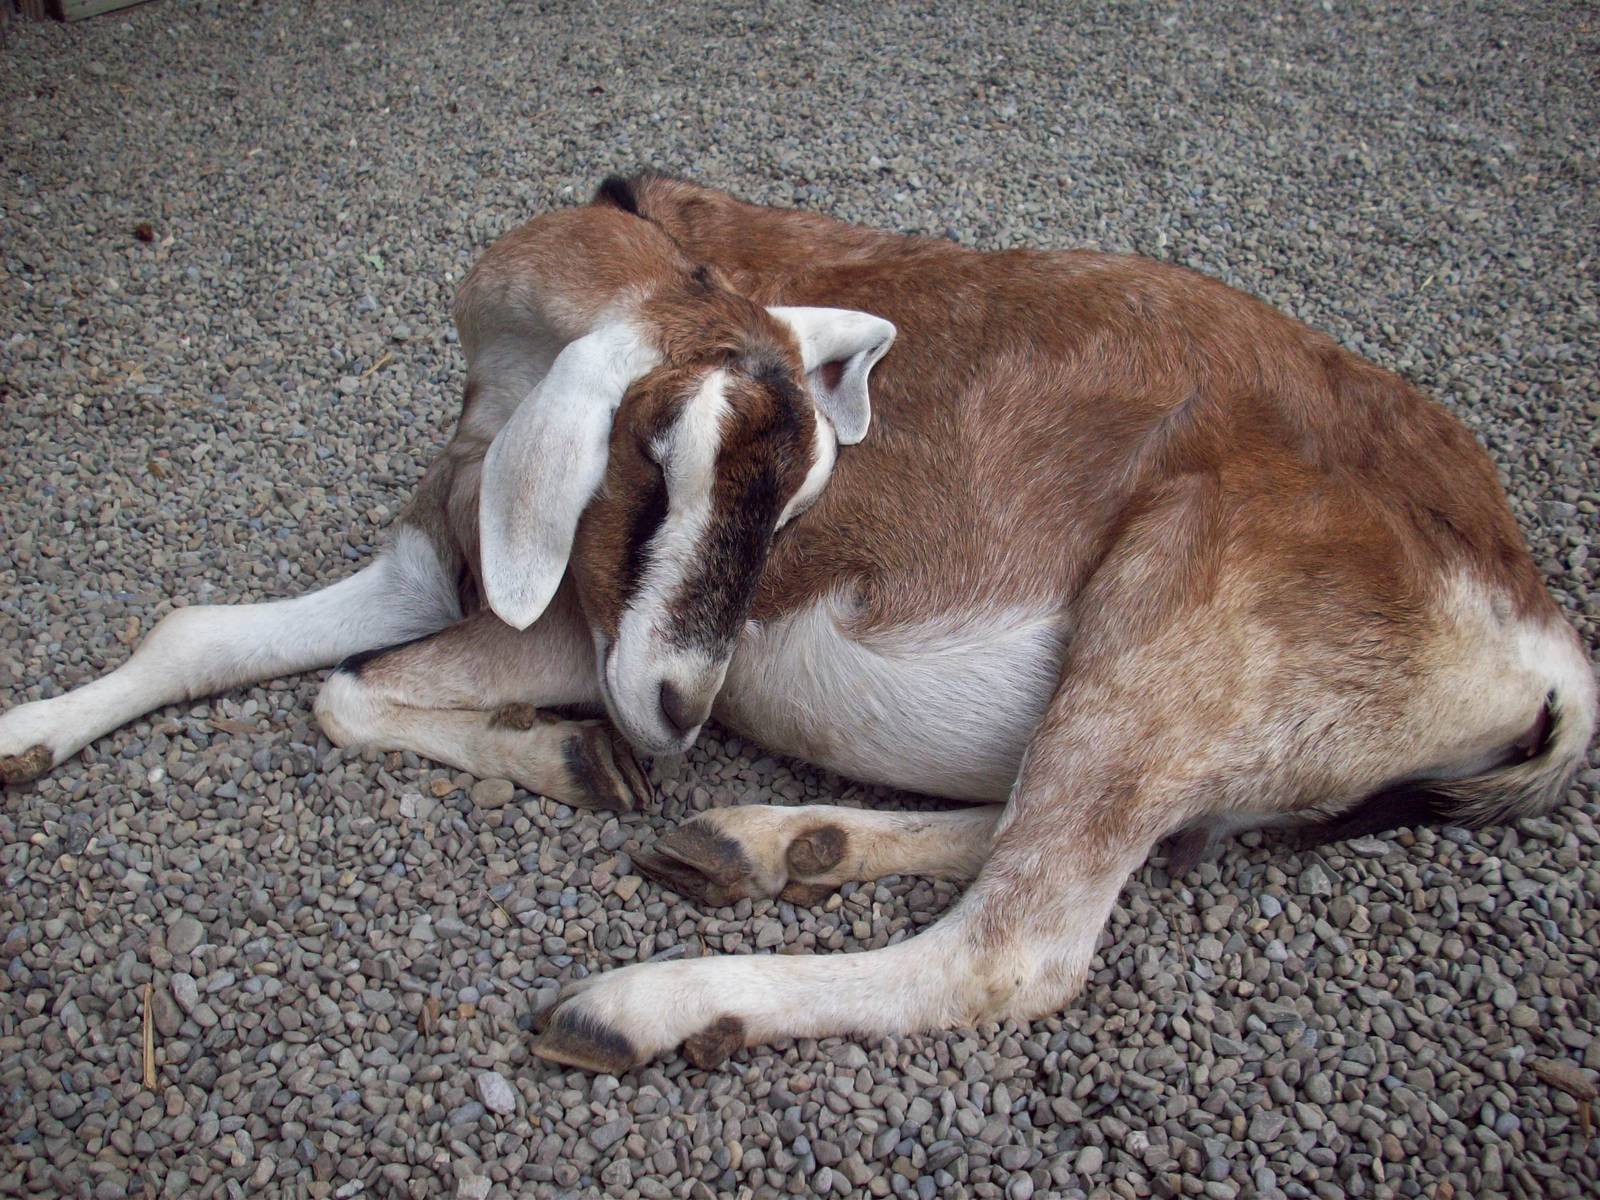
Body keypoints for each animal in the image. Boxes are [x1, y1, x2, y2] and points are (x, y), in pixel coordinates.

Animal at [2, 174, 1594, 1076]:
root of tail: (1545, 654)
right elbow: (210, 634)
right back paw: (767, 845)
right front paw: (26, 737)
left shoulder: (553, 629)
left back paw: (642, 1003)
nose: (676, 716)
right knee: (1090, 838)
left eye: (796, 500)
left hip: (1178, 596)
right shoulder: (448, 557)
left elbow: (342, 691)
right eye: (658, 469)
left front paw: (572, 762)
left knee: (1018, 943)